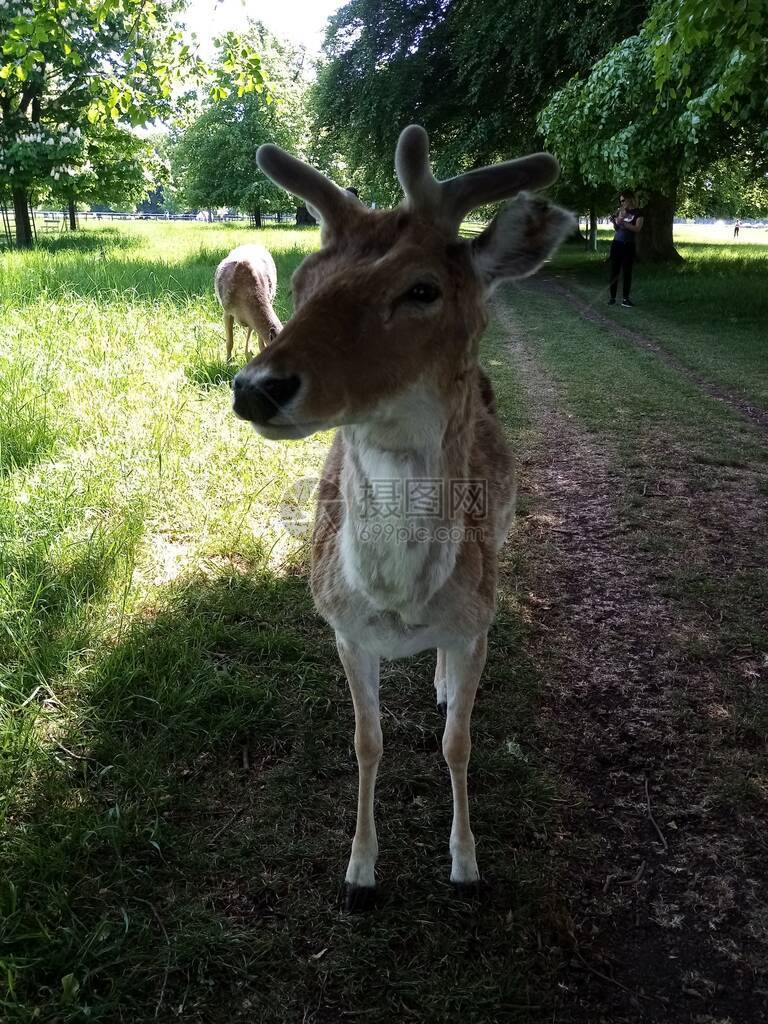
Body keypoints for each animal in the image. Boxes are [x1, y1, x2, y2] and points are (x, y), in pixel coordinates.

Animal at [231, 123, 573, 909]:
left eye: (423, 289)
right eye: (302, 281)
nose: (256, 387)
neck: (396, 603)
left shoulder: (479, 618)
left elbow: (458, 742)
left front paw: (467, 864)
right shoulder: (341, 628)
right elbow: (367, 743)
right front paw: (359, 872)